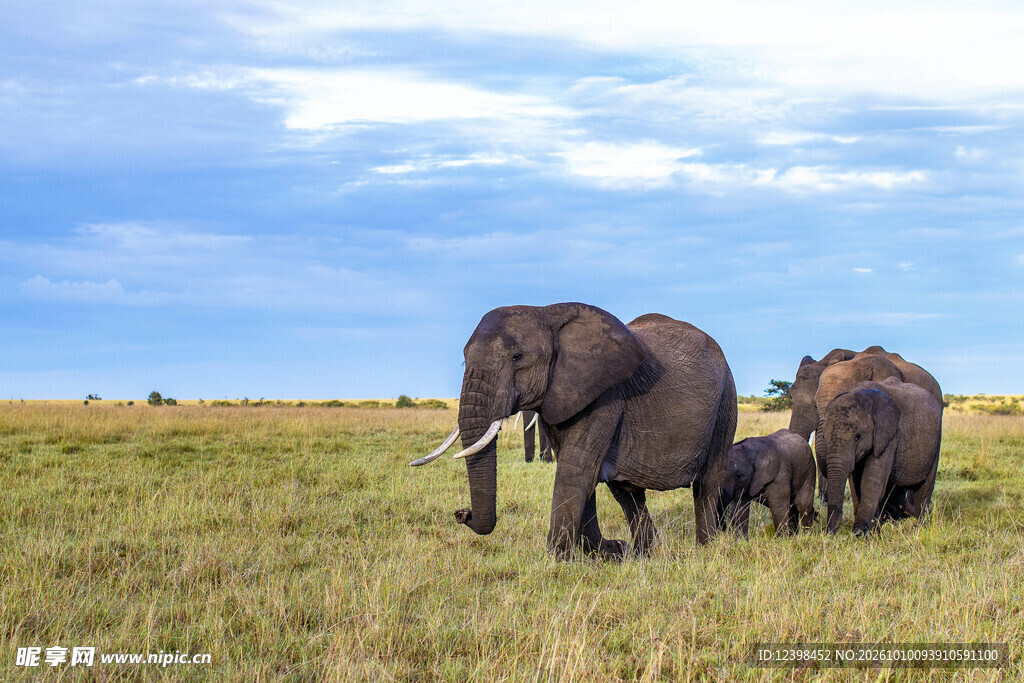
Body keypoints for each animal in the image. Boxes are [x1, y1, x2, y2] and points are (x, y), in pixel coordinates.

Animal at [411, 303, 737, 560]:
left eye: (517, 357)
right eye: (464, 359)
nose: (461, 513)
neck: (546, 313)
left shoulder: (604, 395)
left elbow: (575, 469)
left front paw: (557, 560)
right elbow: (582, 472)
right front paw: (607, 551)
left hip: (725, 402)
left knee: (706, 482)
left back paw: (705, 548)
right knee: (628, 493)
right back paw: (644, 553)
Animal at [821, 377, 942, 536]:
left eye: (857, 437)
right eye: (825, 437)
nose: (829, 533)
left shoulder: (889, 435)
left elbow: (872, 481)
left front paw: (860, 534)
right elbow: (856, 482)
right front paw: (873, 531)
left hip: (936, 441)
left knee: (925, 487)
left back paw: (923, 528)